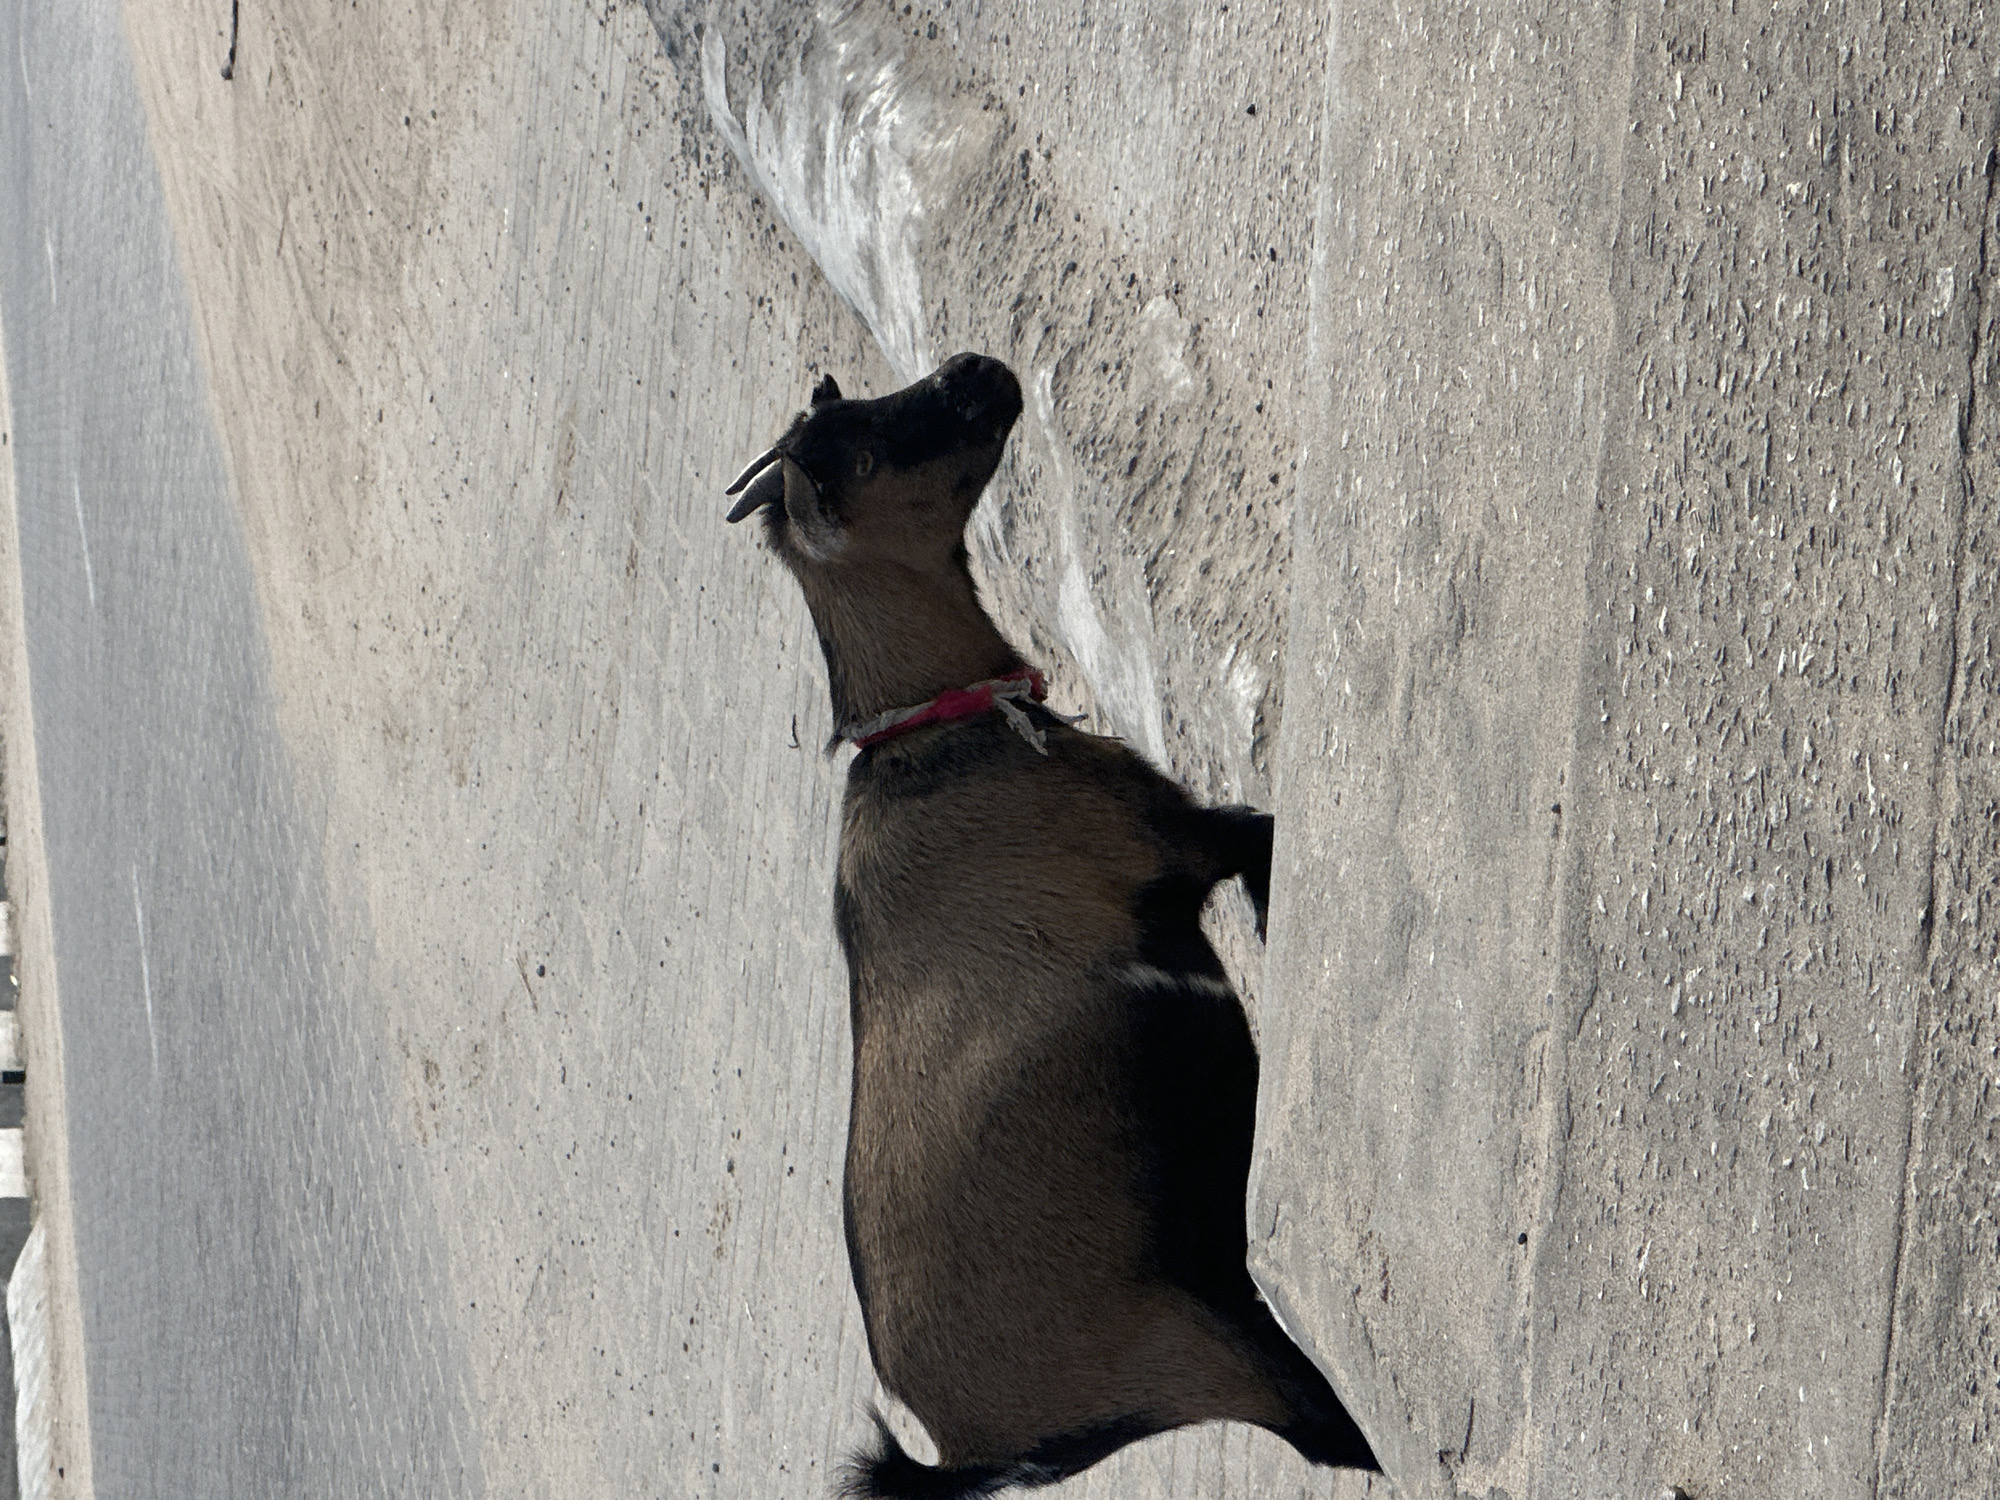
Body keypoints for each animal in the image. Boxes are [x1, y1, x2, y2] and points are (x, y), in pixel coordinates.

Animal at [724, 353, 1378, 1497]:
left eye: (853, 407)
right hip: (1211, 1352)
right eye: (868, 445)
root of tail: (963, 1448)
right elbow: (1264, 844)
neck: (936, 738)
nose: (973, 368)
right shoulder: (1187, 843)